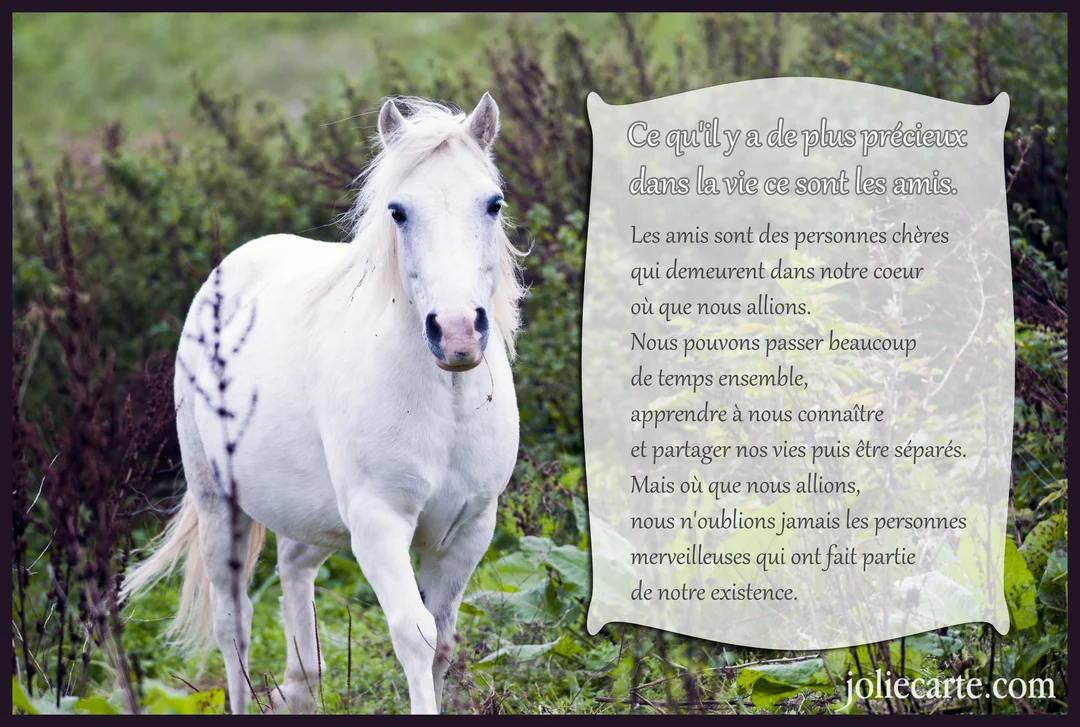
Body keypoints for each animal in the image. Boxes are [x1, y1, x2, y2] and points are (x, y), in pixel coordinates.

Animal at [122, 94, 526, 714]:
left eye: (493, 203)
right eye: (398, 212)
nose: (457, 333)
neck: (445, 402)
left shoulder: (470, 529)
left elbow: (443, 641)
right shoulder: (379, 524)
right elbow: (415, 635)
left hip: (307, 516)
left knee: (293, 571)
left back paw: (299, 687)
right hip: (219, 507)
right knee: (233, 625)